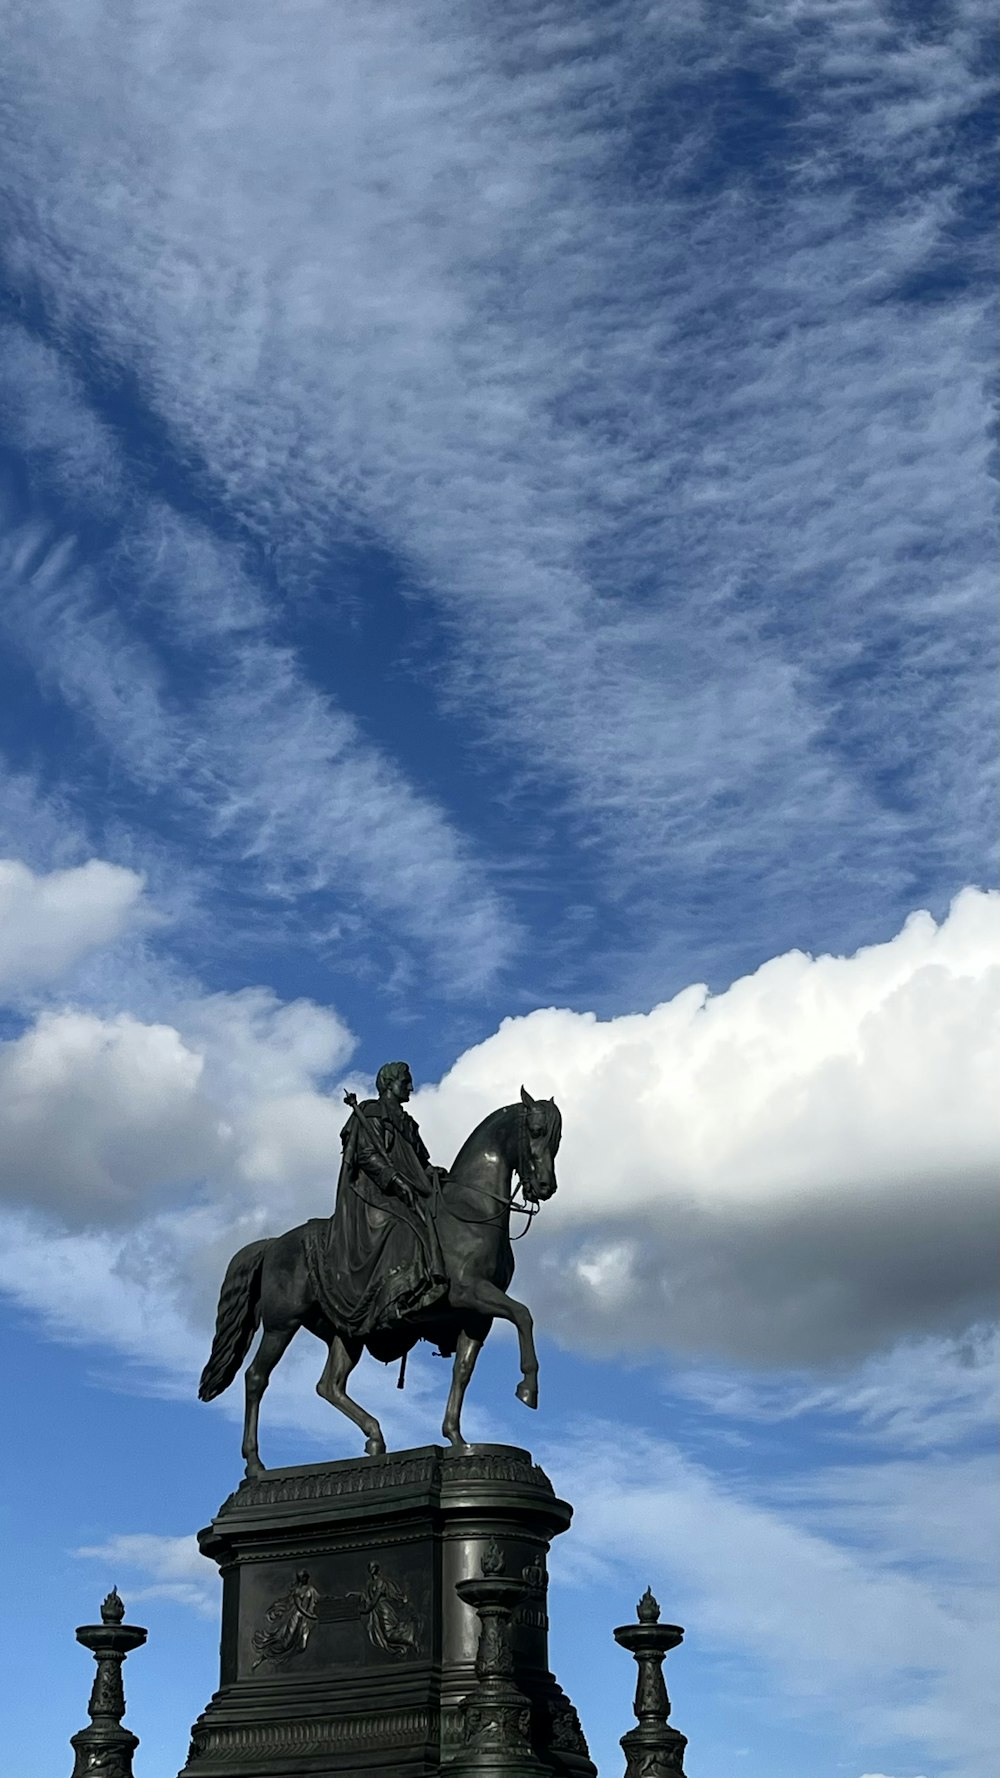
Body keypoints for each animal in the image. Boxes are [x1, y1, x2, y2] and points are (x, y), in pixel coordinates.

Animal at [198, 1081, 555, 1472]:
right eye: (536, 1130)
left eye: (557, 1138)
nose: (545, 1186)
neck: (470, 1210)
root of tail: (274, 1243)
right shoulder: (470, 1292)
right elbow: (523, 1314)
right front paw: (528, 1389)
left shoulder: (476, 1315)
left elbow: (463, 1370)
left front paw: (456, 1437)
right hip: (282, 1324)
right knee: (256, 1378)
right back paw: (255, 1463)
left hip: (346, 1332)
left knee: (330, 1385)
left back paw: (375, 1437)